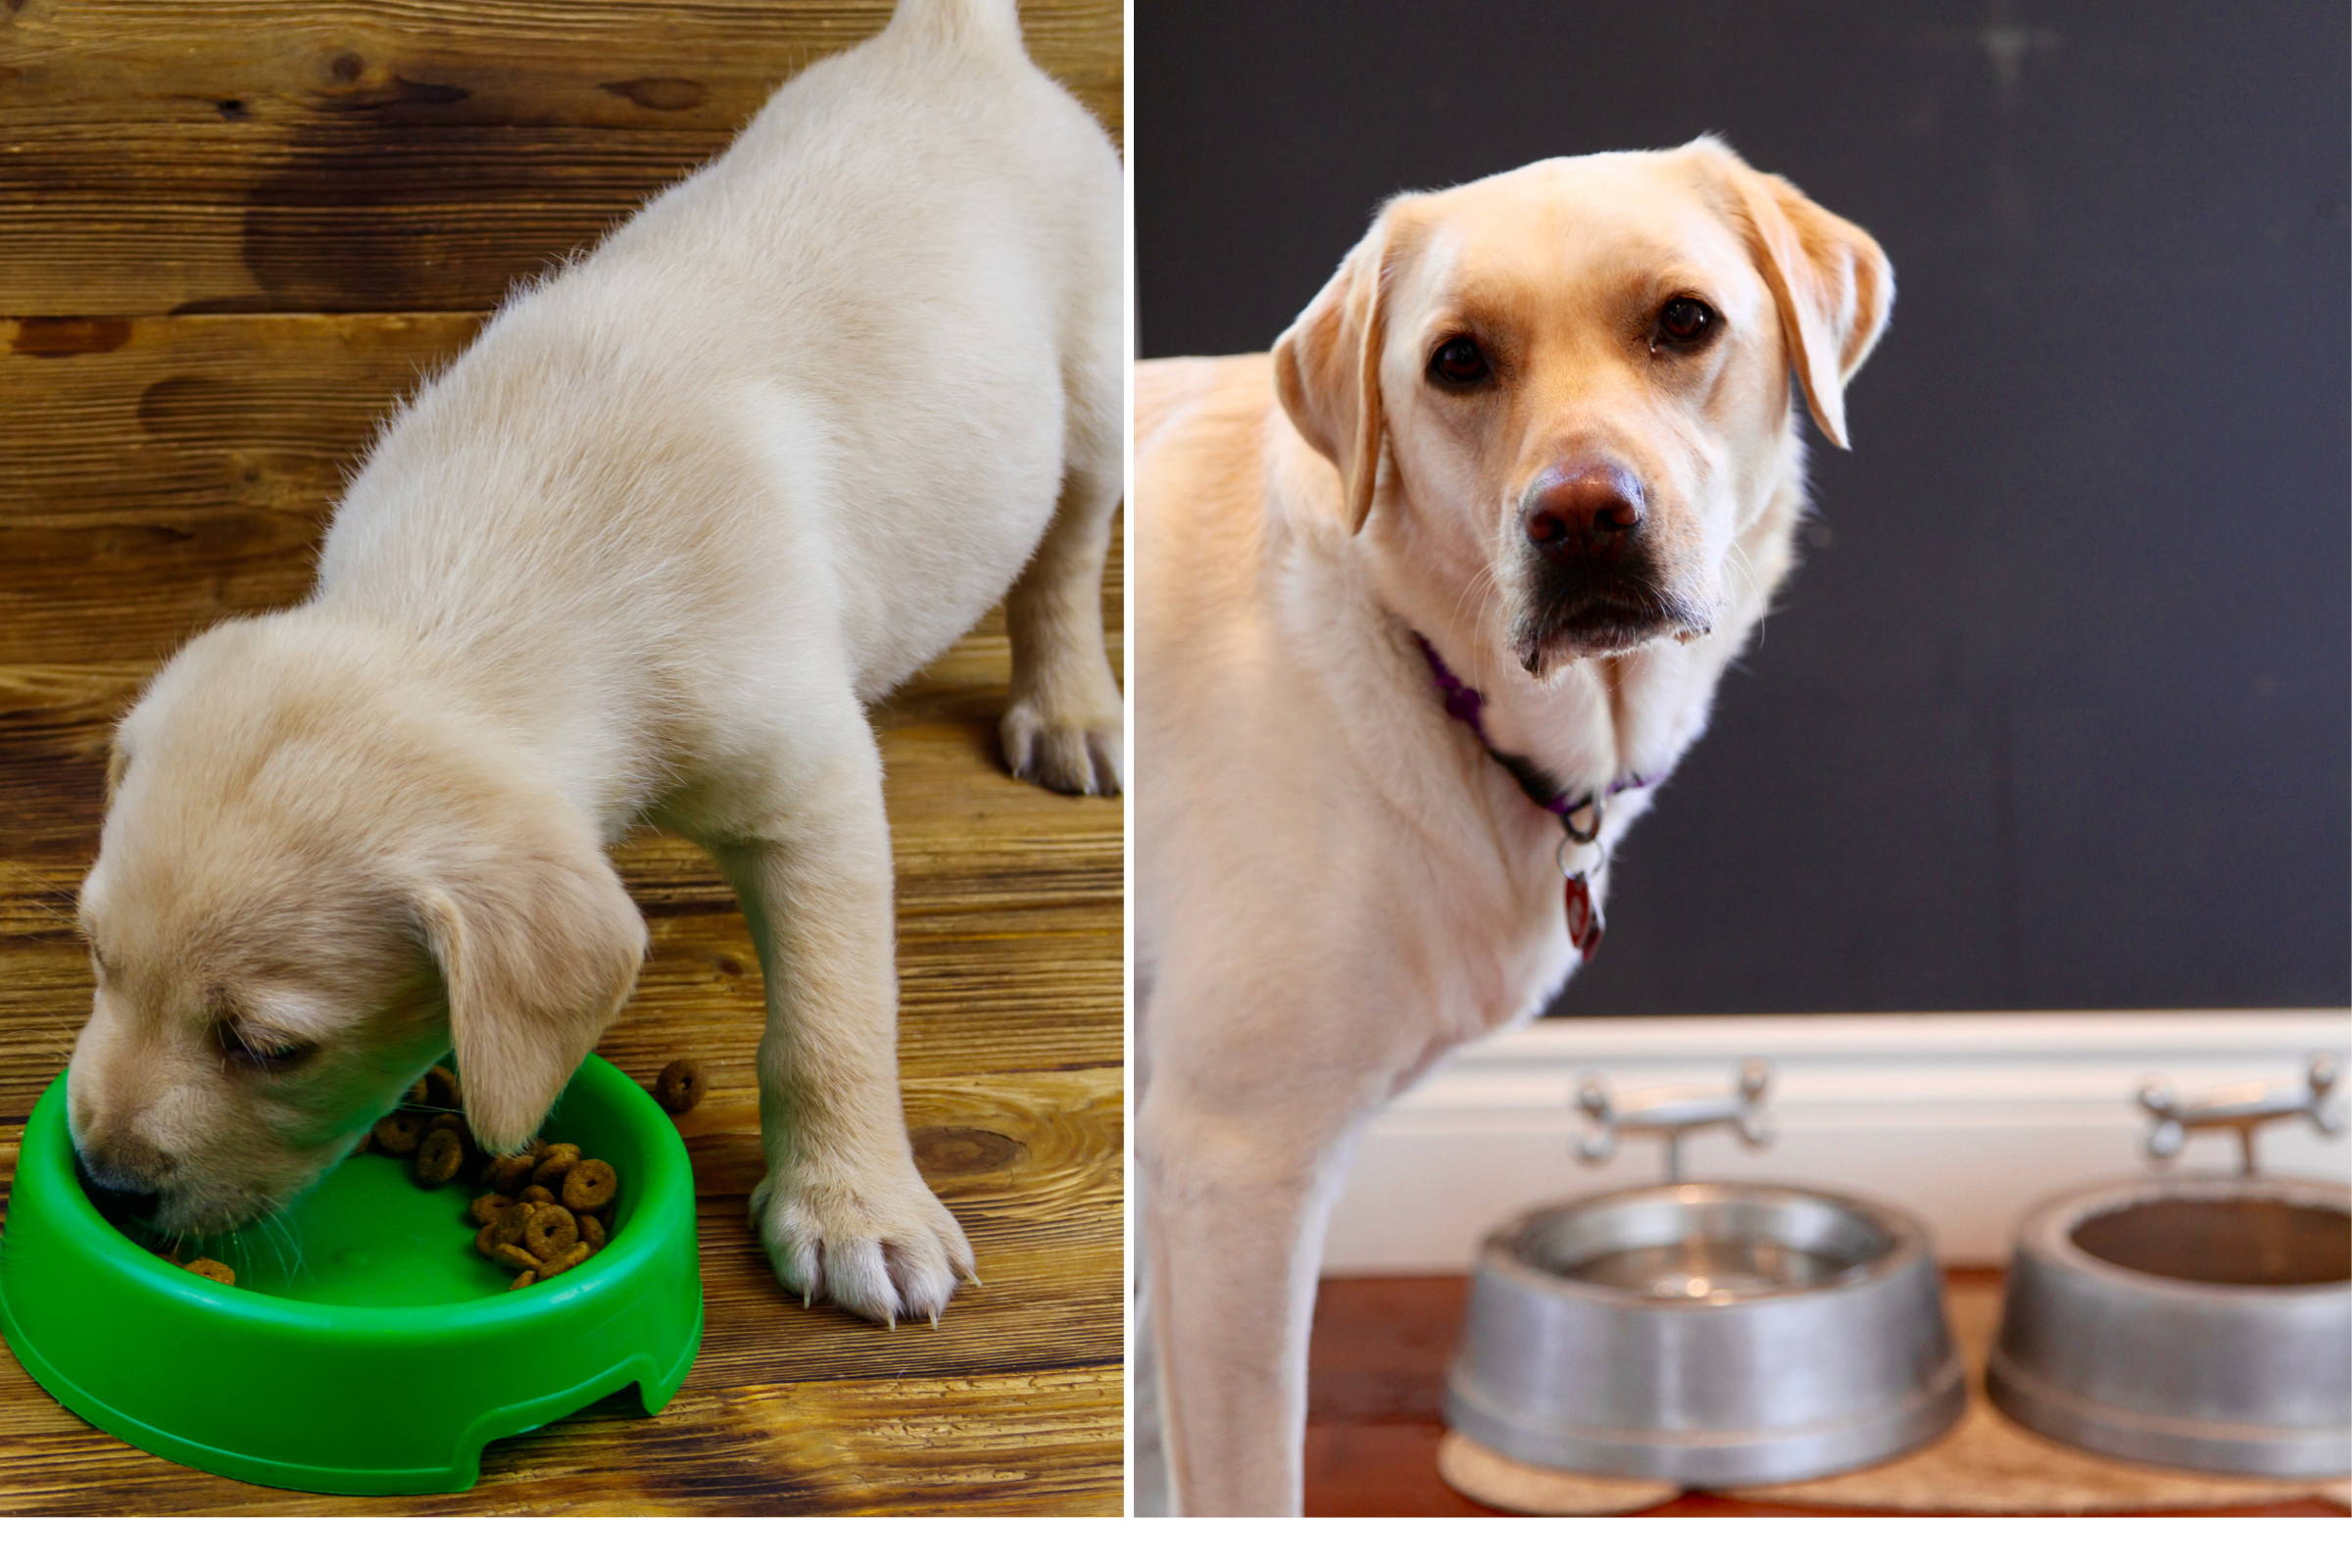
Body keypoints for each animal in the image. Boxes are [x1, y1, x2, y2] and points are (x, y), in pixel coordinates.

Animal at [57, 0, 1119, 1335]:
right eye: (96, 957)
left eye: (265, 1047)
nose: (104, 1183)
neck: (496, 576)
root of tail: (953, 45)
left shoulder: (810, 792)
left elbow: (829, 1015)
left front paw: (854, 1207)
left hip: (1093, 397)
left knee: (1068, 556)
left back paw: (1072, 707)